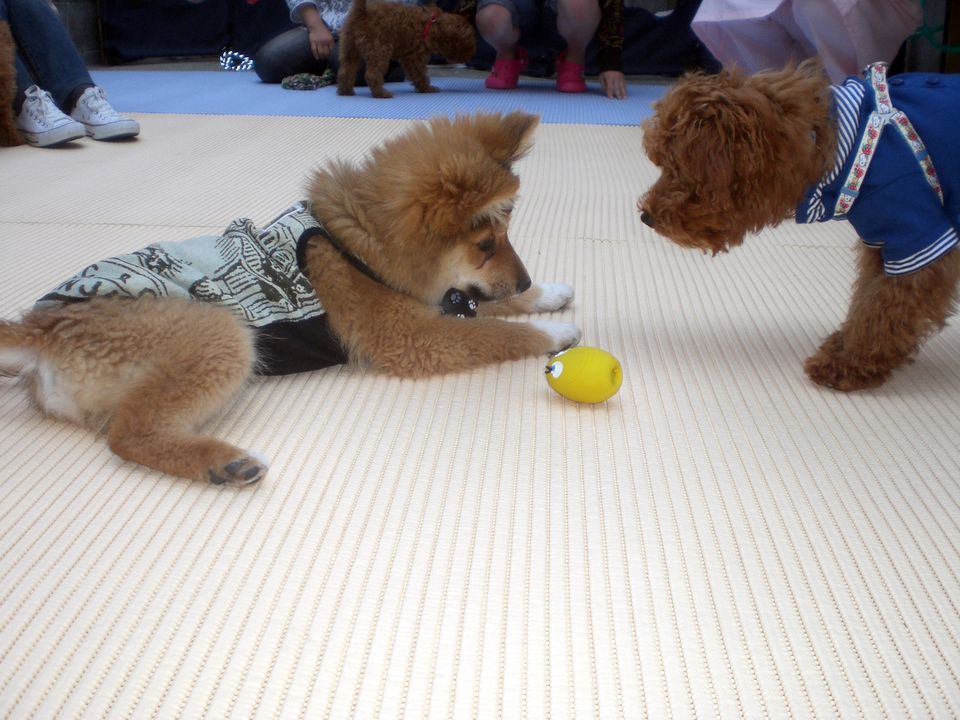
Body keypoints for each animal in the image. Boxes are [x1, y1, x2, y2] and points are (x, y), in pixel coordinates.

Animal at [0, 111, 580, 485]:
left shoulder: (437, 300)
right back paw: (225, 463)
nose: (524, 281)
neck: (356, 241)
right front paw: (557, 334)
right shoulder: (408, 336)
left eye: (506, 235)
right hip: (219, 335)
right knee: (128, 435)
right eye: (485, 245)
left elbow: (485, 306)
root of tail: (41, 330)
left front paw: (553, 292)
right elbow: (492, 329)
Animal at [336, 0, 475, 98]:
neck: (432, 24)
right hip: (380, 49)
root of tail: (361, 12)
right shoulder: (414, 56)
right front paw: (427, 89)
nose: (469, 57)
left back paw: (345, 91)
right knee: (372, 74)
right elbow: (419, 74)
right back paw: (382, 94)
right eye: (468, 47)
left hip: (349, 47)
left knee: (345, 70)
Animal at [638, 59, 960, 391]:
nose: (645, 216)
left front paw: (850, 364)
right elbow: (868, 299)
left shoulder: (917, 234)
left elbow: (886, 307)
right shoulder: (880, 245)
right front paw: (845, 346)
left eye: (675, 168)